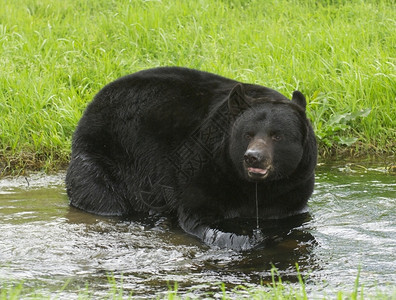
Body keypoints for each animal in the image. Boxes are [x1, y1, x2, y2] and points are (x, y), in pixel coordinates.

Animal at [66, 67, 318, 250]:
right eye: (248, 134)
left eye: (277, 135)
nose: (254, 158)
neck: (251, 185)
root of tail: (92, 104)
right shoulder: (203, 167)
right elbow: (197, 215)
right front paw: (242, 239)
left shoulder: (292, 186)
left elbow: (289, 216)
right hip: (103, 155)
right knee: (101, 195)